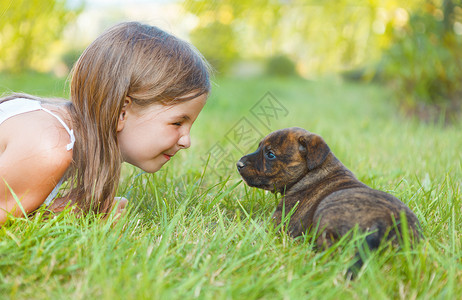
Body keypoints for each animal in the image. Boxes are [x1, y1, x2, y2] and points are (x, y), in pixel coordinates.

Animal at [238, 126, 422, 262]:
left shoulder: (278, 222)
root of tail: (387, 225)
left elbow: (255, 224)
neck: (311, 173)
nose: (238, 164)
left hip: (327, 209)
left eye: (270, 154)